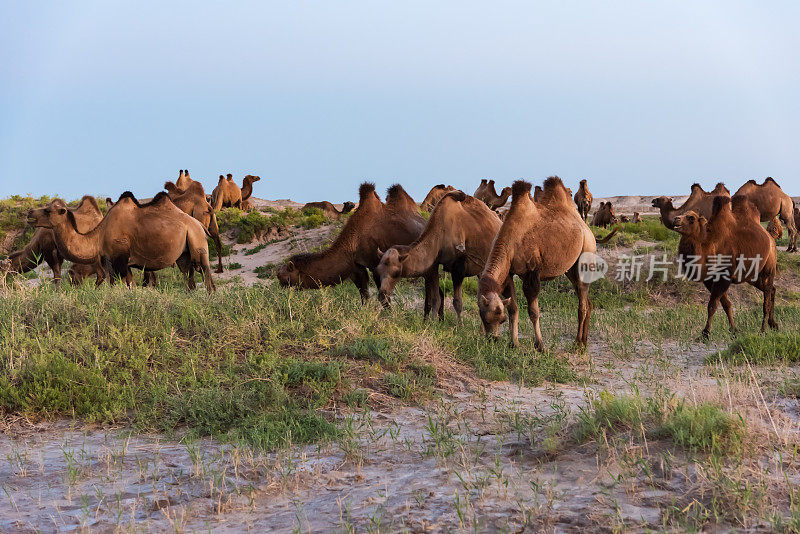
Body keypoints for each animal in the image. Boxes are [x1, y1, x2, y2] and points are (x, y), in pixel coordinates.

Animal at [28, 193, 216, 294]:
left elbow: (123, 284)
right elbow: (126, 284)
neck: (99, 236)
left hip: (197, 241)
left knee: (206, 273)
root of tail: (199, 224)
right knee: (188, 275)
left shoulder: (121, 259)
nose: (30, 212)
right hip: (184, 253)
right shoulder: (114, 262)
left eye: (47, 210)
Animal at [276, 184, 438, 310]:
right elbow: (364, 294)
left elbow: (382, 295)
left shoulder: (375, 262)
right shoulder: (355, 266)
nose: (280, 293)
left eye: (284, 278)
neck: (353, 240)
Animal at [376, 193, 500, 322]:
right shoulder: (433, 265)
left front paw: (459, 324)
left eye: (396, 273)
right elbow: (436, 299)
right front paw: (432, 322)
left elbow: (457, 301)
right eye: (378, 271)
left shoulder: (458, 268)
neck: (440, 233)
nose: (382, 294)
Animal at [478, 178, 604, 350]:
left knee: (582, 305)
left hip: (586, 253)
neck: (510, 239)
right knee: (587, 301)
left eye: (500, 319)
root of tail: (587, 229)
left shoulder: (532, 272)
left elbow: (533, 311)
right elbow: (513, 308)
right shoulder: (508, 272)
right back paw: (584, 342)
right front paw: (514, 343)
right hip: (571, 270)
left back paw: (577, 344)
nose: (492, 339)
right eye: (483, 317)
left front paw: (540, 345)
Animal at [672, 196, 780, 340]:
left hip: (769, 267)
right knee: (772, 289)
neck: (708, 246)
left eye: (691, 218)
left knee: (767, 297)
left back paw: (762, 330)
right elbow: (726, 304)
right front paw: (734, 330)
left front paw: (705, 333)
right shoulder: (709, 280)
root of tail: (771, 238)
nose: (676, 219)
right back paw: (773, 324)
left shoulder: (723, 276)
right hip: (752, 276)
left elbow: (712, 305)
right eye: (683, 214)